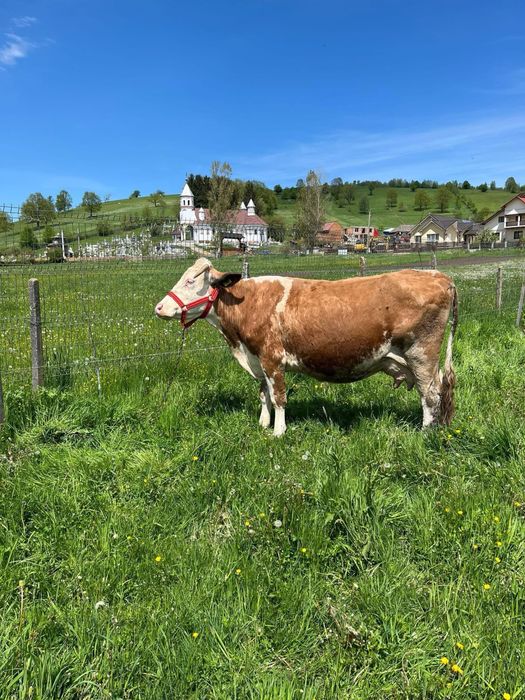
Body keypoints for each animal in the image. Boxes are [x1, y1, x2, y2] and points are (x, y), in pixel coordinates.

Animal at [155, 258, 458, 437]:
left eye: (191, 281)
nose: (159, 307)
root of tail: (438, 275)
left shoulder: (272, 358)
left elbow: (278, 396)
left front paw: (278, 432)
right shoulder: (258, 359)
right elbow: (263, 394)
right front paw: (262, 423)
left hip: (421, 353)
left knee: (430, 393)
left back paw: (425, 433)